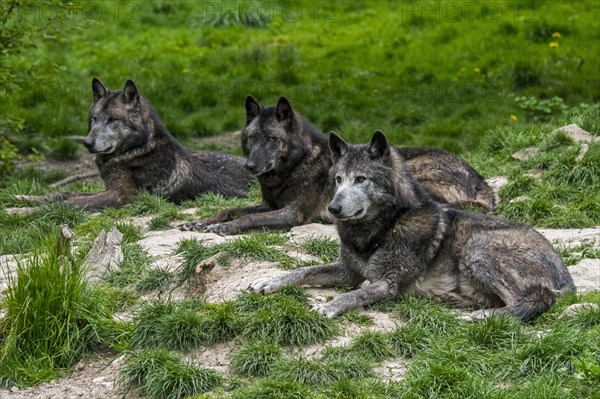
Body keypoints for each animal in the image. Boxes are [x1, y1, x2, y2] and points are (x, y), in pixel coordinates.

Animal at [14, 76, 253, 211]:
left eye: (112, 119)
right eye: (95, 118)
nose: (87, 143)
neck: (136, 150)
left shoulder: (121, 197)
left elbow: (67, 203)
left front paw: (19, 213)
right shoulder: (108, 189)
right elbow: (62, 194)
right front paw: (23, 198)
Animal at [180, 95, 494, 236]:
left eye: (271, 139)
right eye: (251, 139)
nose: (250, 165)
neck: (293, 167)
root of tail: (481, 182)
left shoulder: (292, 213)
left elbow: (248, 219)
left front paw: (223, 228)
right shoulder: (269, 204)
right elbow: (231, 209)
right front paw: (201, 222)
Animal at [247, 131, 572, 322]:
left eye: (361, 179)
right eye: (338, 179)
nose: (333, 208)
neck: (382, 229)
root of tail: (566, 277)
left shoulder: (387, 283)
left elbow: (356, 294)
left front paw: (329, 306)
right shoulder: (348, 271)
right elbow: (303, 270)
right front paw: (269, 281)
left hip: (477, 250)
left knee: (529, 302)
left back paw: (475, 317)